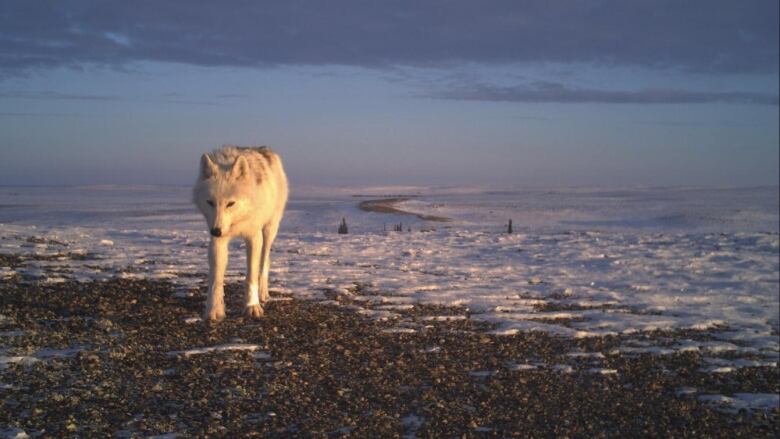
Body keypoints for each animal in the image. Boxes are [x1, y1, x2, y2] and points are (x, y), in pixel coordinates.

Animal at [192, 146, 290, 322]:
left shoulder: (254, 237)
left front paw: (252, 306)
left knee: (264, 263)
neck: (237, 222)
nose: (215, 231)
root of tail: (264, 148)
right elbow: (216, 279)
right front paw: (214, 310)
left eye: (231, 203)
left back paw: (262, 293)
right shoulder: (218, 241)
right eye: (210, 202)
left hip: (269, 231)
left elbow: (251, 276)